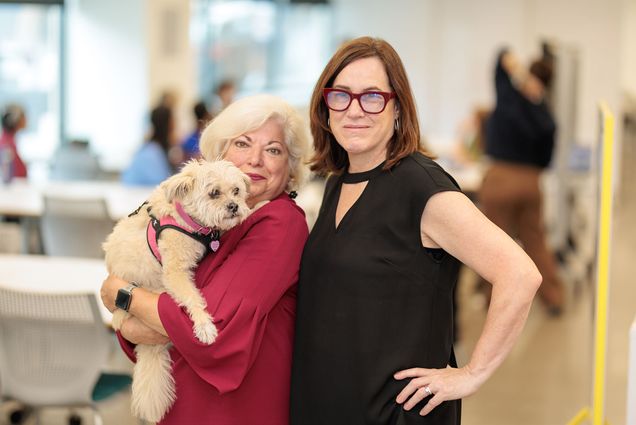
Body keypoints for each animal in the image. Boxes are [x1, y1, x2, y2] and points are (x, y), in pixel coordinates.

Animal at [103, 158, 251, 420]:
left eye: (236, 191)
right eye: (214, 193)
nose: (235, 206)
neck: (188, 220)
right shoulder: (175, 272)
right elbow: (193, 297)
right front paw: (204, 326)